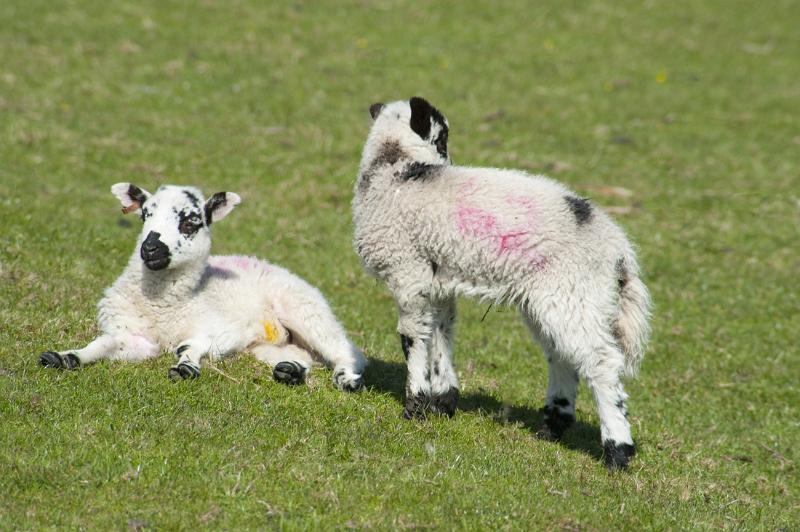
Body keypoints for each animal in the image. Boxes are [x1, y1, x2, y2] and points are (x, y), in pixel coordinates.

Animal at [40, 183, 366, 391]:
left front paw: (186, 367)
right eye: (145, 215)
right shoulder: (133, 336)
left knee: (343, 349)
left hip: (305, 310)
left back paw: (346, 379)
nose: (150, 248)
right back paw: (291, 371)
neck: (164, 306)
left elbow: (189, 346)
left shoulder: (222, 332)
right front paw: (64, 357)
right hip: (268, 344)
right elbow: (102, 344)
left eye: (189, 223)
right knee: (303, 356)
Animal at [352, 97, 652, 469]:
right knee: (562, 356)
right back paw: (553, 427)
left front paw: (415, 407)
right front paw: (443, 401)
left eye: (442, 138)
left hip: (573, 293)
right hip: (553, 299)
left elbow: (413, 339)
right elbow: (442, 333)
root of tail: (619, 251)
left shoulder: (409, 273)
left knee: (602, 362)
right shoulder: (439, 282)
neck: (395, 171)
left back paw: (617, 451)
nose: (449, 161)